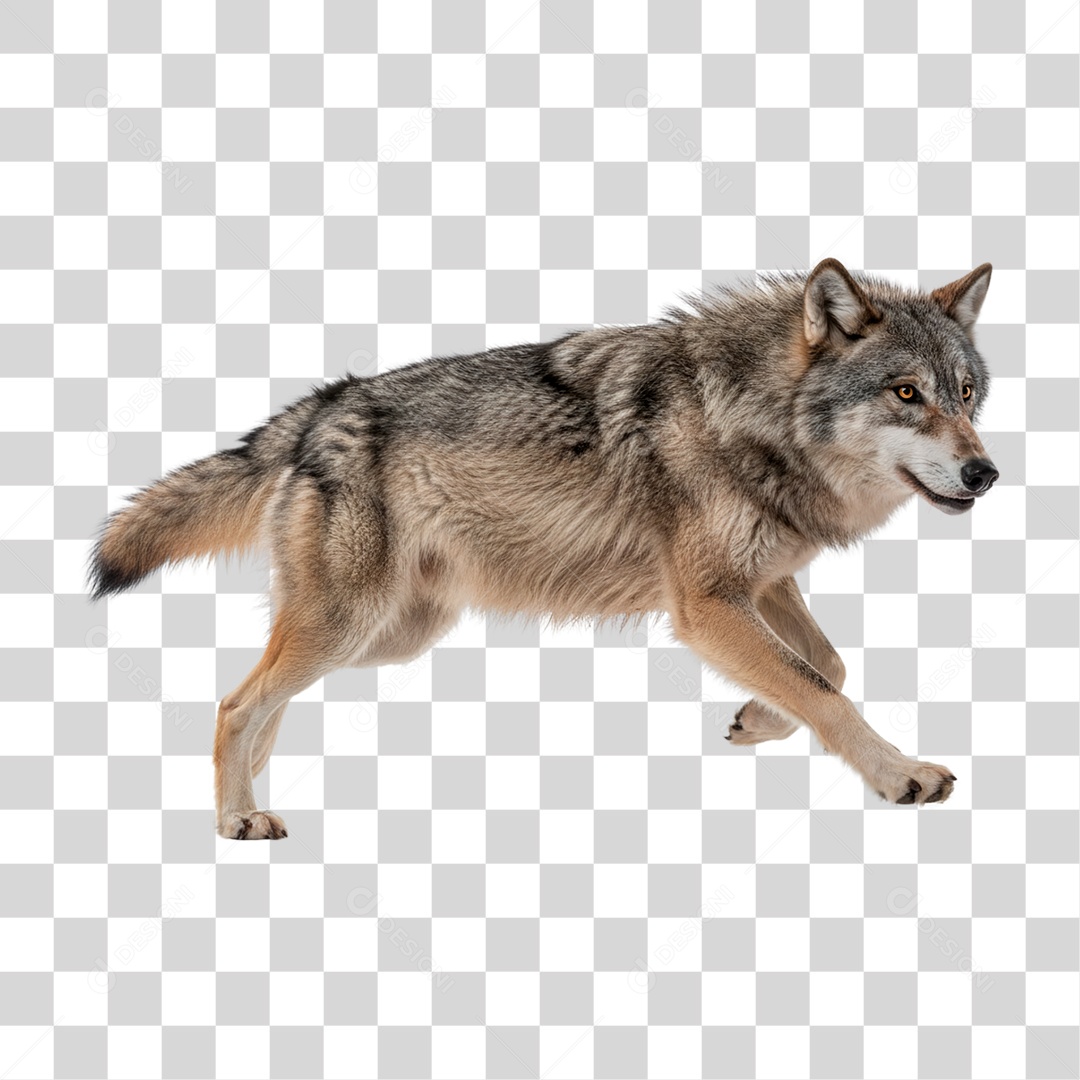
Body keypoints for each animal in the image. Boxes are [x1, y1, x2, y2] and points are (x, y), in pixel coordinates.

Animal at [89, 258, 998, 839]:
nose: (985, 472)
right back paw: (237, 818)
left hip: (383, 636)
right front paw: (900, 775)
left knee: (260, 703)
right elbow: (826, 691)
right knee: (235, 704)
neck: (753, 417)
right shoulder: (706, 606)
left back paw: (244, 806)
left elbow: (826, 671)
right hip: (350, 625)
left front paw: (756, 718)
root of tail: (317, 409)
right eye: (905, 394)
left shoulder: (761, 585)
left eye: (966, 394)